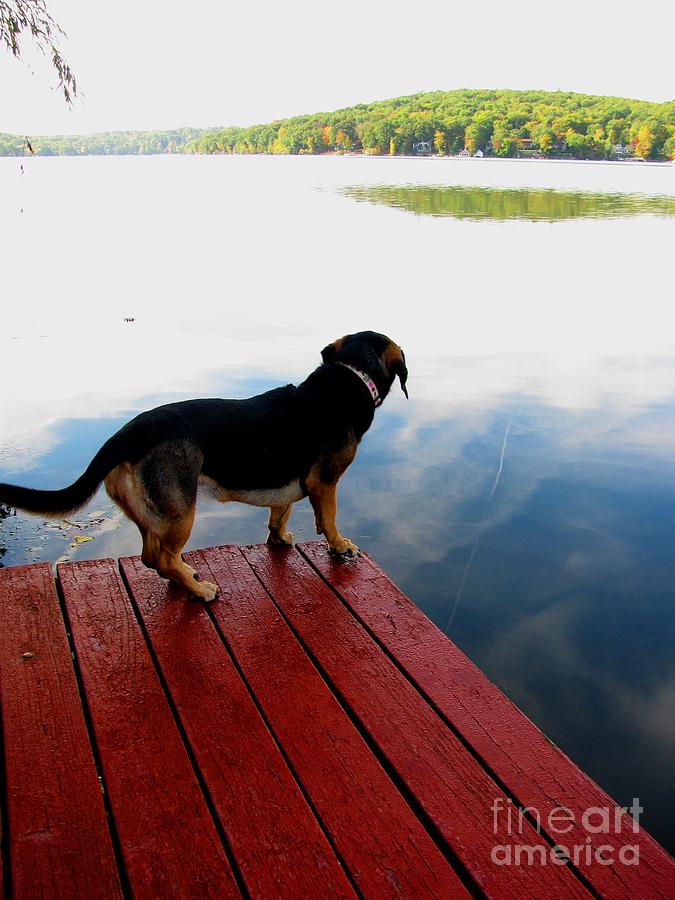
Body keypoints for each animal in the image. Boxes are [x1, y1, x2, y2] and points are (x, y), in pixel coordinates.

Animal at [0, 328, 406, 596]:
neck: (350, 377)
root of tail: (127, 434)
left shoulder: (285, 485)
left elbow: (279, 514)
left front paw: (279, 539)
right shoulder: (325, 483)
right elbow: (330, 520)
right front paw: (340, 547)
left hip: (152, 513)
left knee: (151, 557)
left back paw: (187, 578)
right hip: (182, 512)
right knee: (162, 559)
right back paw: (201, 592)